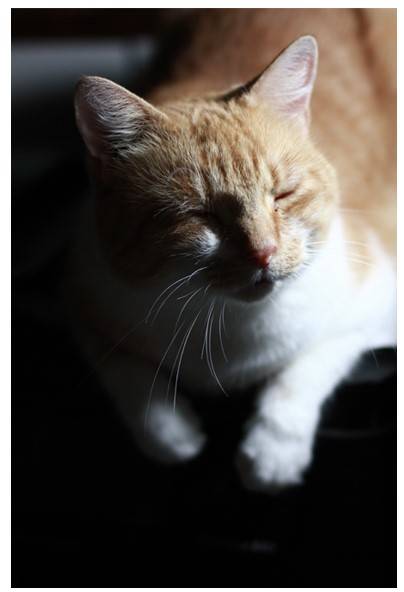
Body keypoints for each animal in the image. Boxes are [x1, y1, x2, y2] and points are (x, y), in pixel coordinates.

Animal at [68, 8, 394, 490]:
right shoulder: (83, 295)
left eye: (283, 195)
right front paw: (171, 433)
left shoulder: (374, 296)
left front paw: (273, 453)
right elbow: (124, 372)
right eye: (201, 215)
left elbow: (306, 367)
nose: (264, 252)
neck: (228, 328)